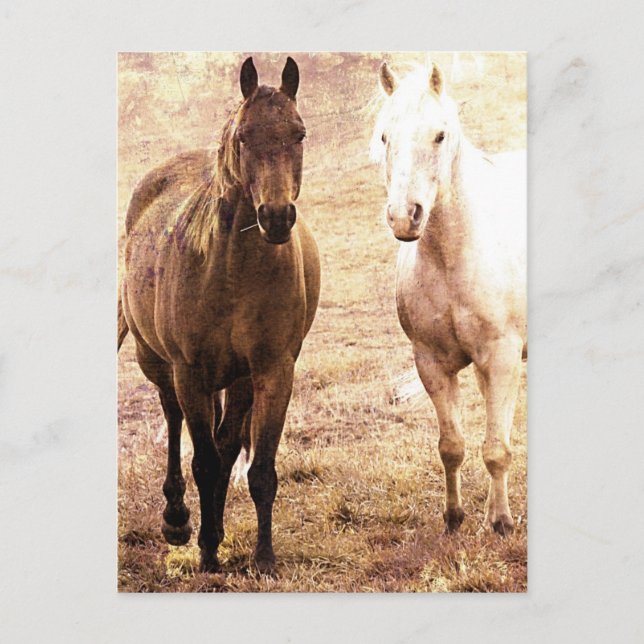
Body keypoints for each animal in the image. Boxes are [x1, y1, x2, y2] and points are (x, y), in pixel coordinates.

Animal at [118, 56, 320, 573]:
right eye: (244, 137)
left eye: (299, 134)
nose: (276, 217)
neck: (232, 270)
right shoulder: (190, 372)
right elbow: (204, 461)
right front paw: (206, 551)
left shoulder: (271, 371)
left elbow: (257, 467)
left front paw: (263, 557)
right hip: (159, 364)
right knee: (174, 424)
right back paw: (178, 520)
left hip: (237, 380)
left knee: (227, 445)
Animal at [371, 62, 526, 536]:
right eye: (384, 137)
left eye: (440, 135)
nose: (405, 216)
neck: (453, 257)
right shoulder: (433, 363)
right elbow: (452, 446)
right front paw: (455, 517)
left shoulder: (503, 358)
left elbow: (496, 449)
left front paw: (501, 522)